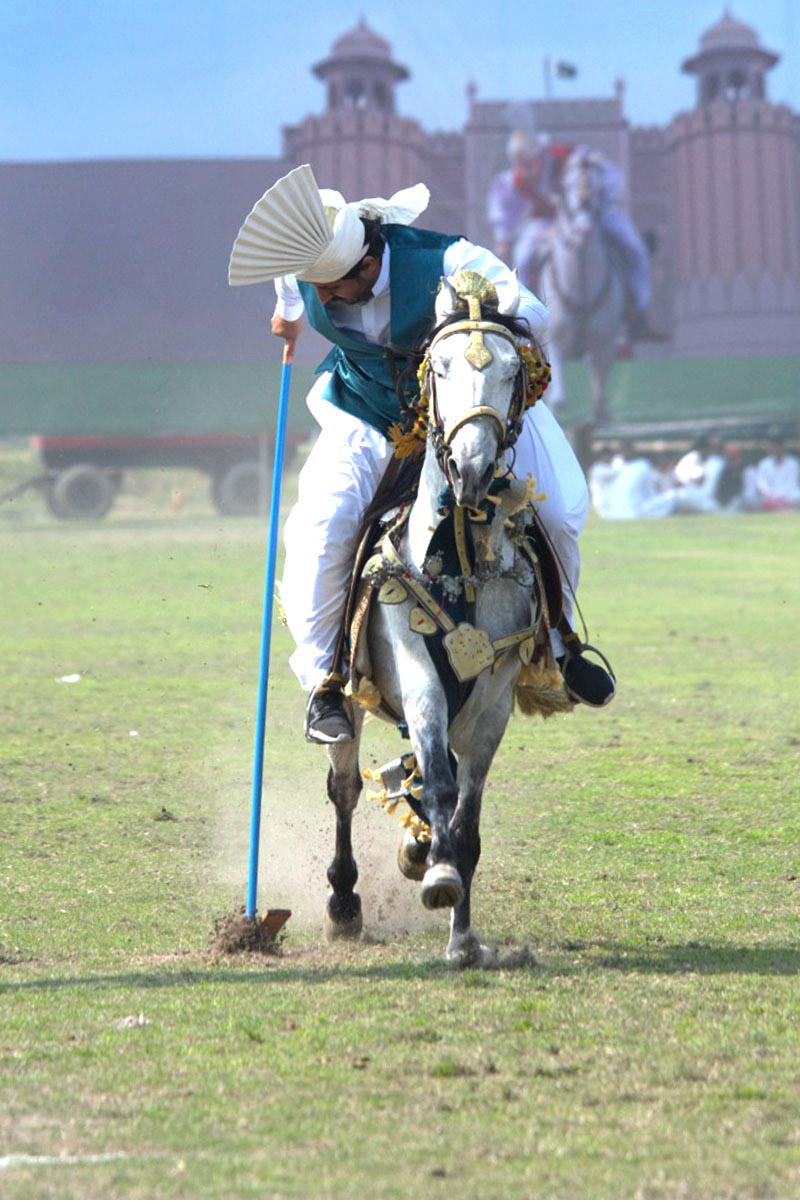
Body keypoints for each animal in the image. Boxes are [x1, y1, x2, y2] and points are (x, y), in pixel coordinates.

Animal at [539, 149, 626, 426]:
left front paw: (601, 416)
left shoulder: (603, 342)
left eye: (599, 190)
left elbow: (599, 385)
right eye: (566, 188)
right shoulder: (554, 340)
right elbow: (559, 397)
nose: (582, 231)